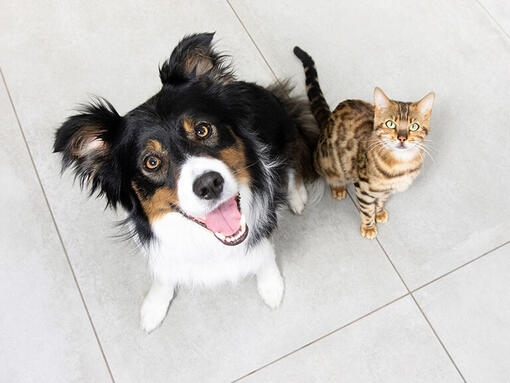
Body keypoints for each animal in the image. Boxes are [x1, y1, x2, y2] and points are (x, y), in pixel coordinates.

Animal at [55, 33, 318, 332]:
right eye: (151, 162)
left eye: (203, 130)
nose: (209, 184)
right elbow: (163, 273)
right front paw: (154, 306)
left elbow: (263, 252)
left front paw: (271, 286)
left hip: (284, 128)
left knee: (295, 158)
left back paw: (296, 196)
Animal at [294, 46, 434, 238]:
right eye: (390, 124)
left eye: (414, 126)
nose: (402, 137)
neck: (400, 165)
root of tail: (329, 118)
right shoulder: (363, 187)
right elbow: (367, 209)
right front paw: (369, 227)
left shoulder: (386, 190)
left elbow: (381, 201)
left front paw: (380, 212)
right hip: (327, 162)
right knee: (330, 175)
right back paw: (338, 187)